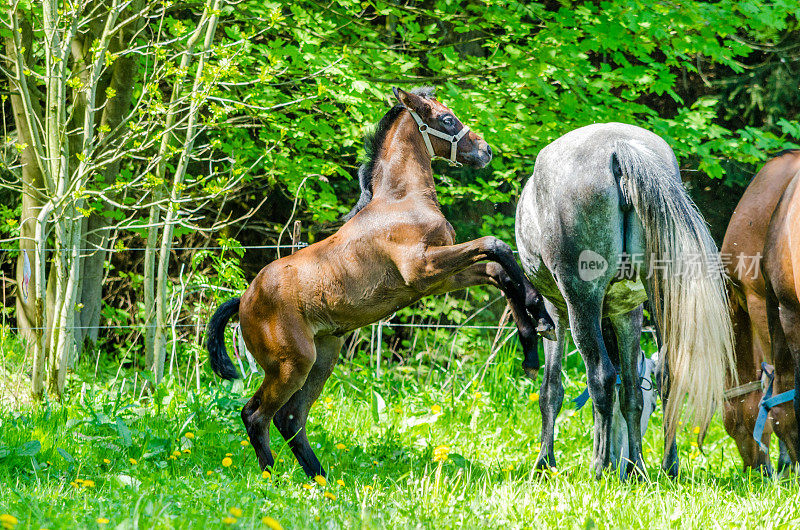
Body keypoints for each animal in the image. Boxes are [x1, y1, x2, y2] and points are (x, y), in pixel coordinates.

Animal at [205, 86, 552, 474]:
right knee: (257, 416)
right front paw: (539, 316)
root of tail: (244, 300)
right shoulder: (422, 267)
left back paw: (319, 479)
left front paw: (533, 340)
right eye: (447, 119)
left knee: (291, 418)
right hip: (290, 365)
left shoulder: (436, 279)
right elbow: (496, 246)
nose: (485, 150)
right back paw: (272, 476)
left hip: (322, 359)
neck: (403, 201)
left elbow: (499, 272)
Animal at [516, 121, 736, 476]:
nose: (620, 466)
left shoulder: (557, 313)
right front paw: (636, 467)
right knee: (666, 376)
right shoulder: (627, 313)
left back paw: (599, 468)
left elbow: (551, 391)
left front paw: (544, 464)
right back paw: (663, 467)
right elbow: (631, 392)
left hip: (581, 304)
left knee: (601, 378)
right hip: (660, 299)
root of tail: (619, 147)